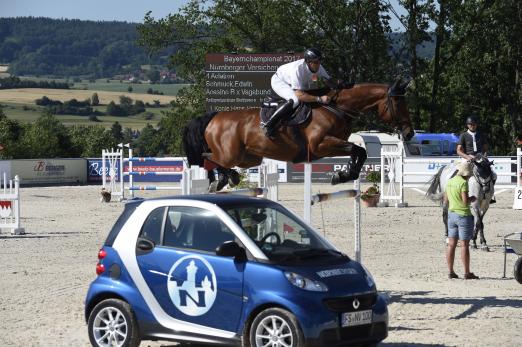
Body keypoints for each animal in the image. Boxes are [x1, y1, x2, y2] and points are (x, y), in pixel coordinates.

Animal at [181, 76, 412, 192]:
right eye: (398, 104)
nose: (409, 133)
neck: (336, 107)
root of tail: (214, 117)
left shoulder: (332, 145)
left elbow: (359, 152)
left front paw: (344, 174)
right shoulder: (320, 145)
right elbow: (358, 150)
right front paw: (343, 174)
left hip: (249, 157)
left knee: (214, 160)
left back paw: (225, 179)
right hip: (231, 154)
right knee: (208, 157)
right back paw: (222, 179)